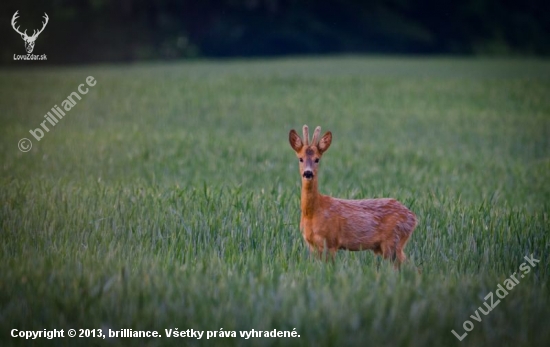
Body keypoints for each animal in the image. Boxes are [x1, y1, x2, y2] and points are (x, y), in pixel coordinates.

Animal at [292, 126, 416, 268]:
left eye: (317, 159)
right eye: (300, 158)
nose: (308, 173)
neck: (313, 211)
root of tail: (413, 218)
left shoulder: (331, 241)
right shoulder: (312, 244)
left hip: (393, 241)